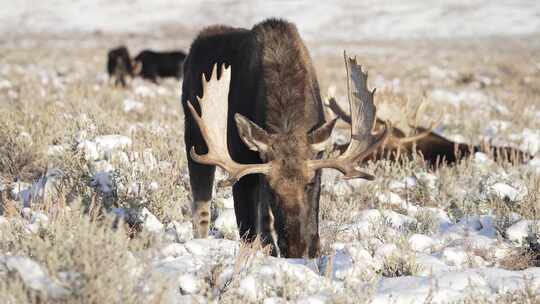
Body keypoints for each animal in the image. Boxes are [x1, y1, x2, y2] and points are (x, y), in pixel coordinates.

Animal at [181, 17, 388, 258]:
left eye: (308, 184)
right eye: (273, 190)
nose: (295, 247)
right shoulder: (242, 166)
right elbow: (247, 230)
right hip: (194, 136)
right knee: (201, 208)